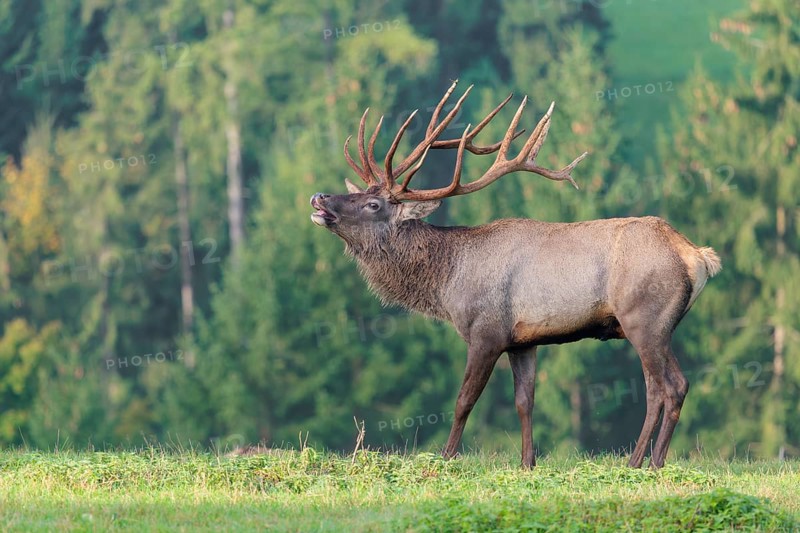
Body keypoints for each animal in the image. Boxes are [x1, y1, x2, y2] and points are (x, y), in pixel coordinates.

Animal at [309, 81, 721, 469]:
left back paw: (646, 463)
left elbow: (463, 400)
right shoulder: (523, 340)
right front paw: (527, 462)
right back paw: (645, 461)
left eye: (373, 204)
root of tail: (697, 256)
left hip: (644, 319)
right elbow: (525, 401)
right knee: (666, 388)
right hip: (655, 326)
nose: (319, 198)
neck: (448, 282)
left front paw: (446, 457)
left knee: (668, 386)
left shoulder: (486, 331)